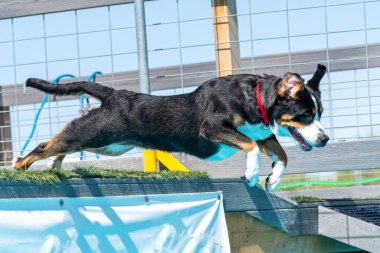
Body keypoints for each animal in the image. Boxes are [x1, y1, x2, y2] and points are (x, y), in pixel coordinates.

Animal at [14, 64, 330, 191]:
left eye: (320, 112)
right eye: (306, 115)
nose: (325, 139)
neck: (255, 99)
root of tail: (115, 94)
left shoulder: (263, 133)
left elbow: (282, 155)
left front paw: (272, 180)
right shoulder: (212, 128)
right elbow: (249, 145)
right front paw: (252, 174)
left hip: (107, 144)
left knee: (60, 144)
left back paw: (55, 165)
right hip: (95, 133)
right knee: (44, 146)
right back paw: (18, 168)